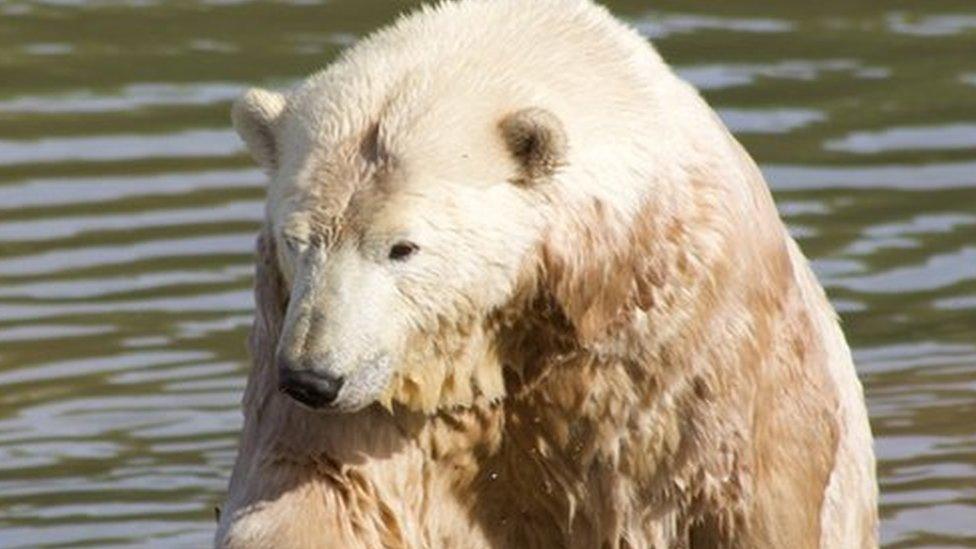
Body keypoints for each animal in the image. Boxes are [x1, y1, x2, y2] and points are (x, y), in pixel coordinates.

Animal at [217, 1, 880, 548]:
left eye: (403, 248)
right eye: (297, 240)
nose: (312, 377)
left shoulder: (692, 339)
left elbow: (740, 491)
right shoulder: (359, 372)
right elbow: (319, 489)